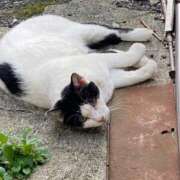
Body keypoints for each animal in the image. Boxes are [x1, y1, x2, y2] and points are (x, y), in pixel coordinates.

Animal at [0, 14, 156, 129]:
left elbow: (127, 57)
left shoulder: (101, 60)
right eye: (82, 119)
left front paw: (141, 52)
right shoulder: (111, 77)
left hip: (86, 31)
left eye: (92, 101)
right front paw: (149, 66)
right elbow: (132, 75)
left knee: (114, 33)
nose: (100, 118)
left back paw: (144, 34)